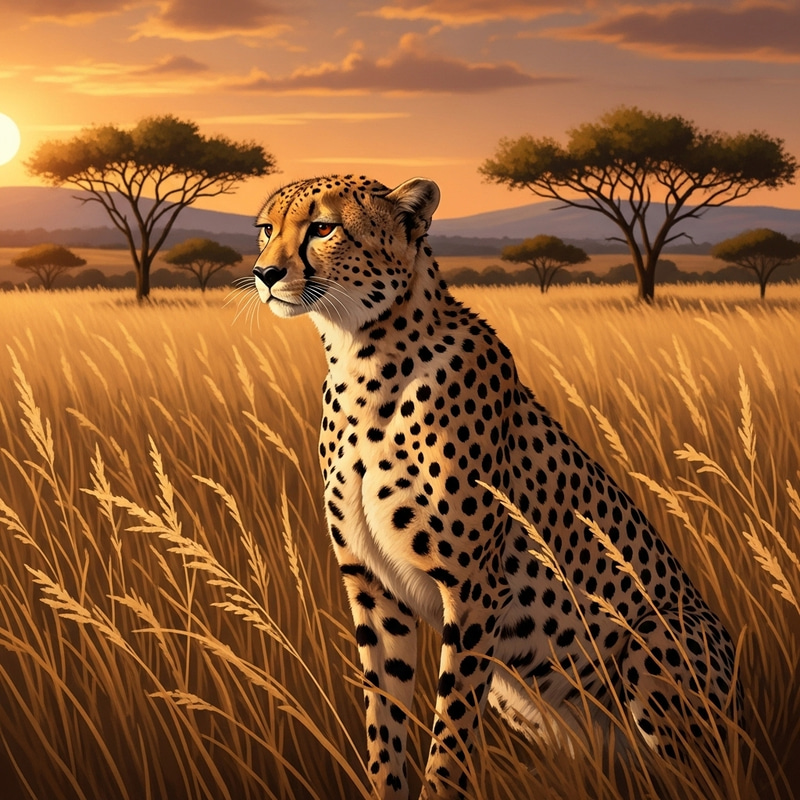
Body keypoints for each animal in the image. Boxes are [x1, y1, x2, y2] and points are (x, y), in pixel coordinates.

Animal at [250, 174, 741, 799]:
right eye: (267, 229)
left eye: (321, 228)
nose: (264, 272)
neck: (363, 360)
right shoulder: (373, 589)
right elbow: (384, 722)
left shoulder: (475, 588)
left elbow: (451, 731)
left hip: (653, 646)